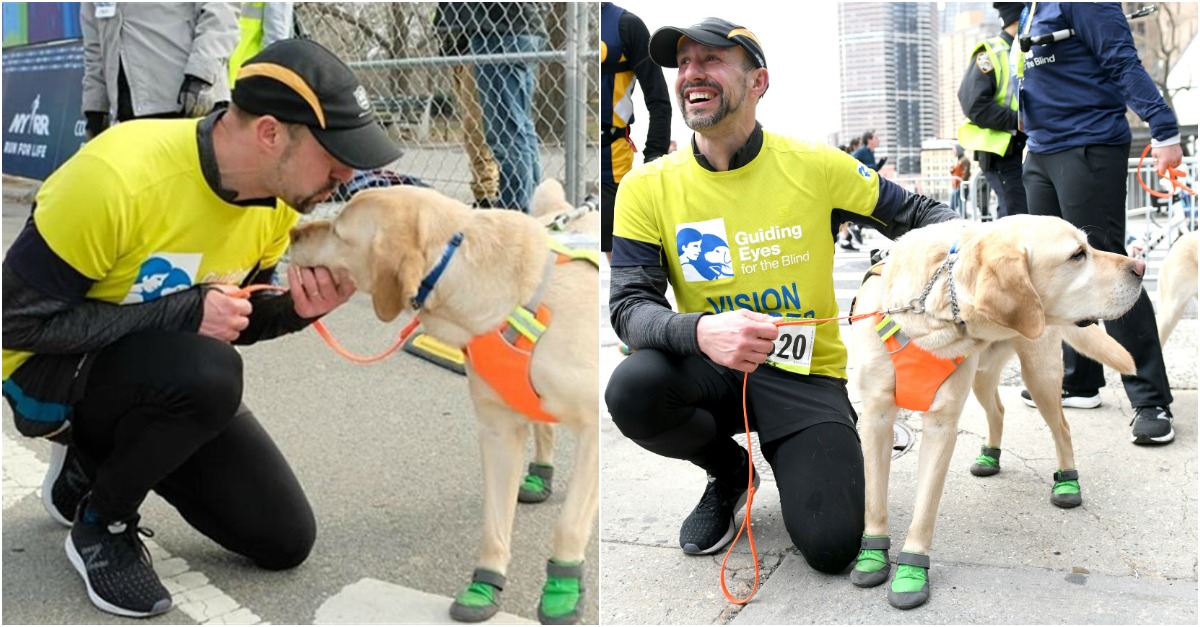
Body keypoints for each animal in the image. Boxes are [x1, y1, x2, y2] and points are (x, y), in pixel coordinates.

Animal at [290, 183, 600, 619]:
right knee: (543, 428)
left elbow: (569, 523)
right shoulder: (497, 432)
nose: (292, 234)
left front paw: (563, 589)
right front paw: (485, 585)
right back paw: (540, 475)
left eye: (337, 231)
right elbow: (493, 524)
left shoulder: (594, 431)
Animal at [849, 213, 1137, 605]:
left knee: (1061, 428)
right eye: (1078, 254)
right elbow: (874, 499)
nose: (1141, 266)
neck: (930, 316)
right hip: (982, 377)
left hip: (1039, 373)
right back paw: (991, 455)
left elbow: (924, 510)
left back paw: (1067, 482)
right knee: (998, 410)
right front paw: (872, 555)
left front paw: (911, 570)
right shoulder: (876, 418)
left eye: (1086, 248)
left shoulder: (941, 426)